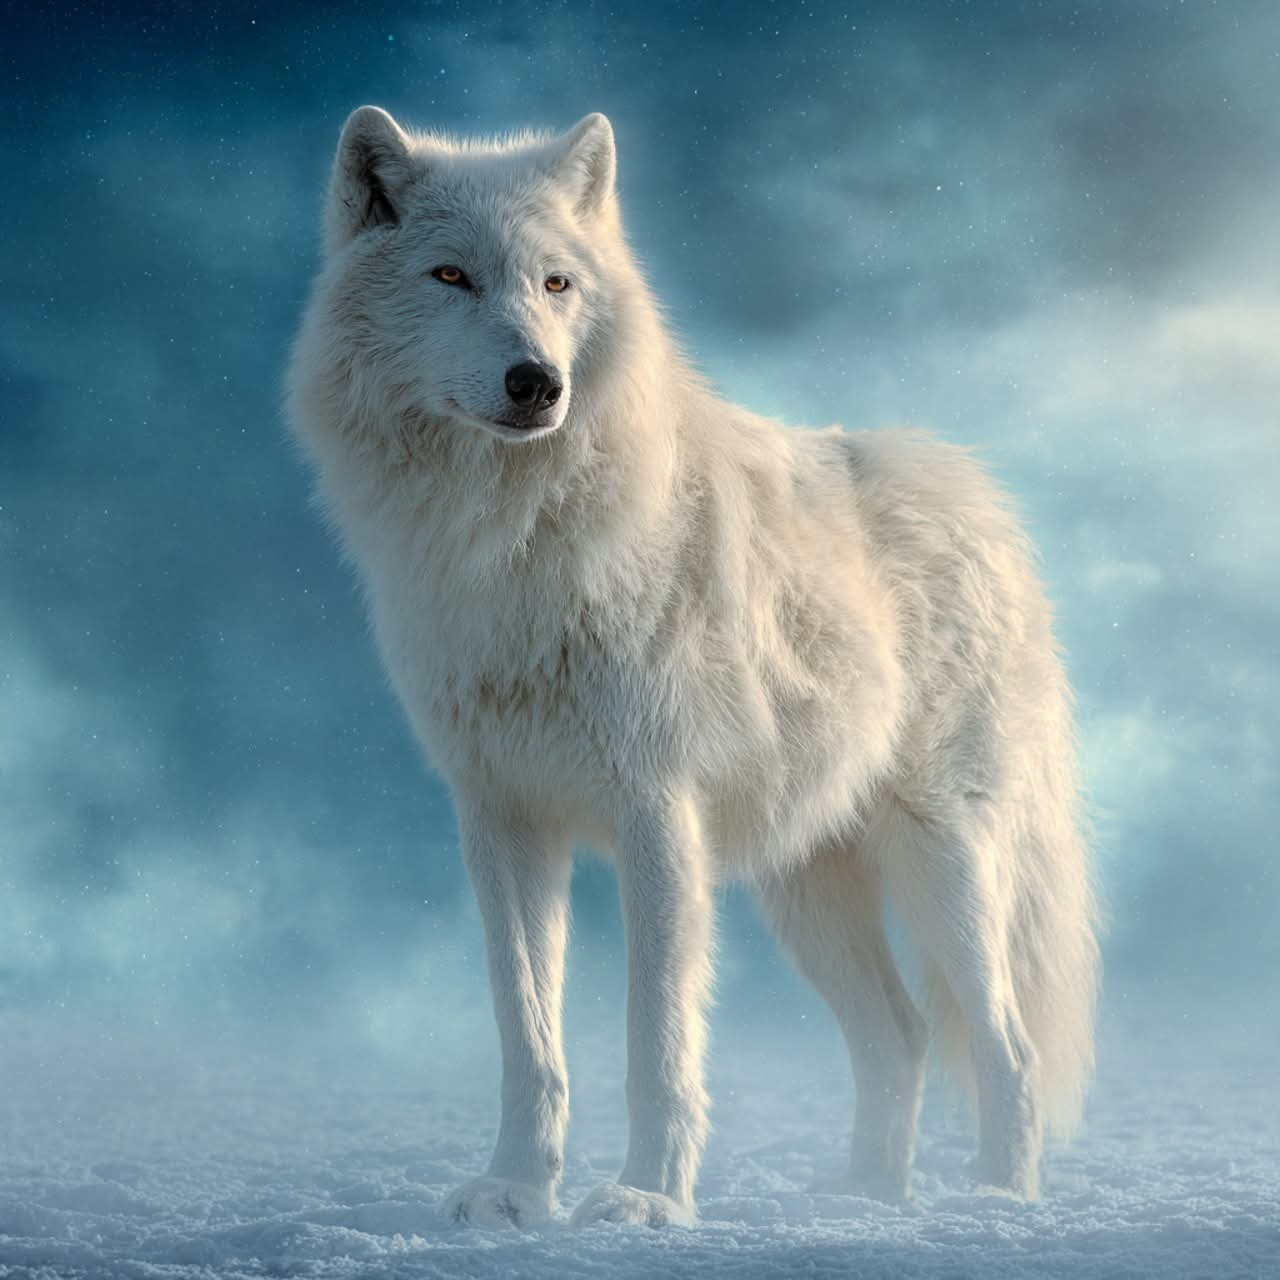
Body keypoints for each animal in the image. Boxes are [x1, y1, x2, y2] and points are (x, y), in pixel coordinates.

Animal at [287, 105, 1099, 1228]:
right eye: (450, 276)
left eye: (556, 284)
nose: (538, 382)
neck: (511, 540)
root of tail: (975, 496)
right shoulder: (501, 822)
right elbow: (527, 1041)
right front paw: (515, 1191)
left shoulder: (654, 811)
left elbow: (656, 1041)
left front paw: (645, 1200)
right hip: (804, 889)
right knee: (899, 1034)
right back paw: (864, 1199)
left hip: (943, 865)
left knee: (1004, 1046)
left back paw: (994, 1203)